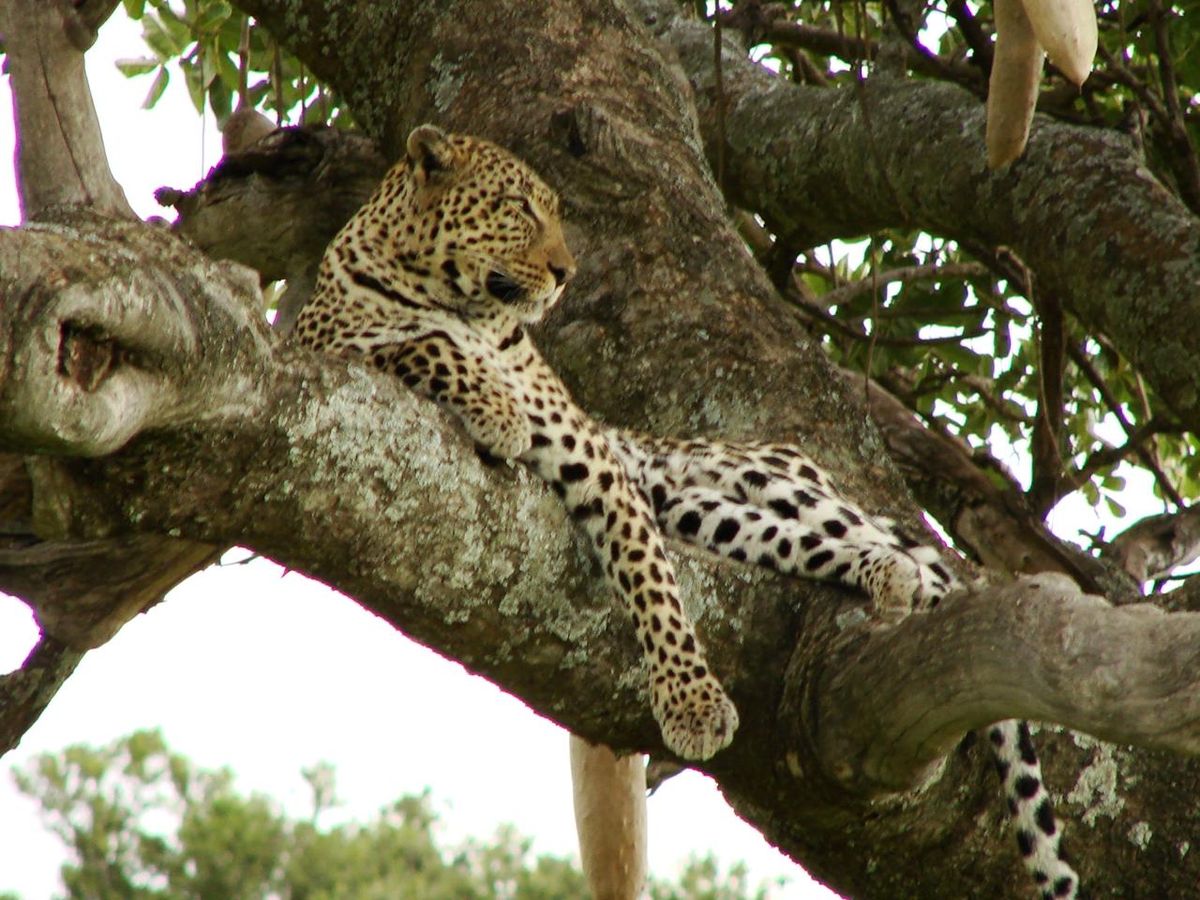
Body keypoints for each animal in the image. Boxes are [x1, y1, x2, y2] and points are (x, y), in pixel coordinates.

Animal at [292, 123, 1076, 899]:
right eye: (517, 208)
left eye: (555, 214)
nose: (565, 272)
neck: (456, 301)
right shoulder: (329, 344)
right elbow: (420, 346)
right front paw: (493, 405)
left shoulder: (594, 458)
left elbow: (652, 582)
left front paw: (693, 707)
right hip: (712, 514)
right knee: (834, 548)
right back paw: (888, 579)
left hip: (768, 484)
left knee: (924, 565)